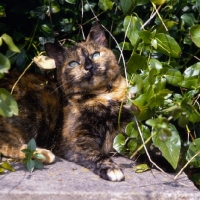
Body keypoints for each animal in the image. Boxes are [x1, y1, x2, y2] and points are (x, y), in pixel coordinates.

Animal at [0, 21, 134, 181]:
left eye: (95, 54)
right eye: (73, 64)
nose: (89, 67)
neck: (103, 94)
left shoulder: (126, 133)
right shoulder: (76, 139)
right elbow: (95, 154)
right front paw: (111, 168)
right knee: (6, 143)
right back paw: (42, 155)